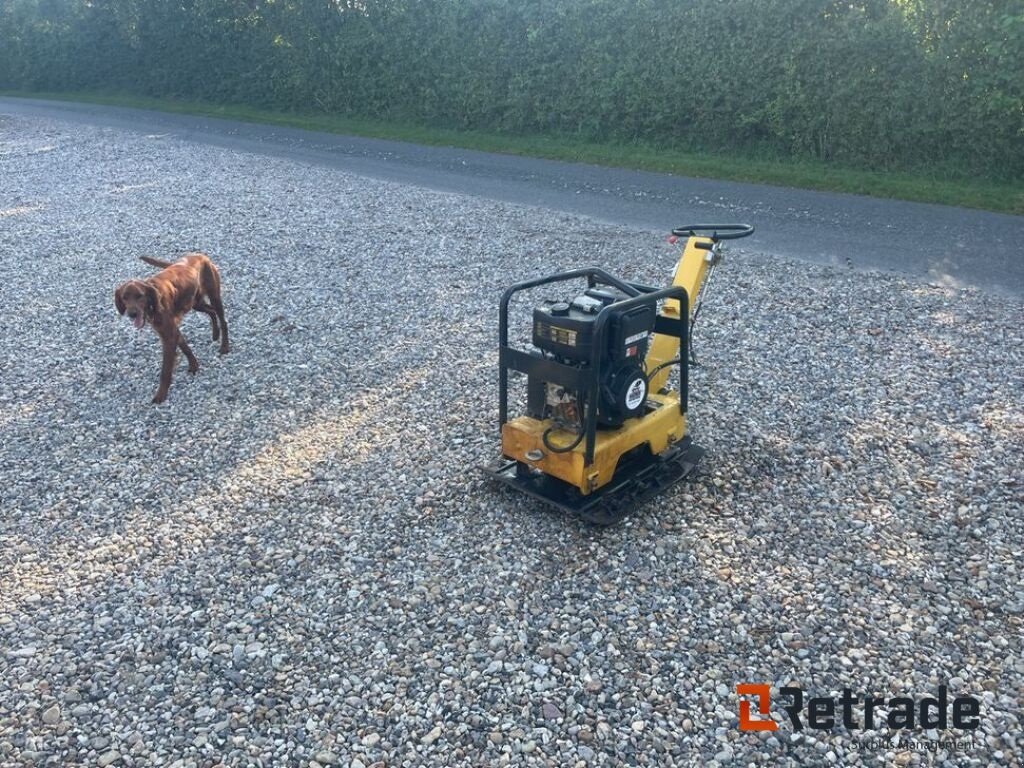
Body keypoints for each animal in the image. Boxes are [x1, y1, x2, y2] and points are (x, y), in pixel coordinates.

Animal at [115, 253, 229, 409]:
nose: (132, 314)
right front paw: (194, 366)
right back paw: (215, 334)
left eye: (139, 295)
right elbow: (185, 347)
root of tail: (199, 255)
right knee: (211, 312)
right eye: (124, 297)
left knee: (222, 320)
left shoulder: (168, 335)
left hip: (214, 296)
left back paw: (224, 346)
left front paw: (160, 395)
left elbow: (165, 369)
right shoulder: (170, 330)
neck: (154, 302)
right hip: (195, 302)